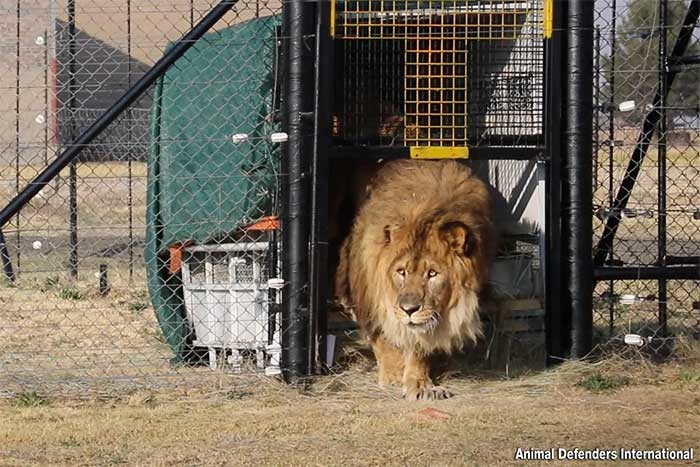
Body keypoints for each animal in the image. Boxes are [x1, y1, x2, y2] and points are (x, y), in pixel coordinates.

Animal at [334, 159, 494, 400]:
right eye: (401, 272)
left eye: (432, 274)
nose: (409, 309)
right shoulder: (371, 296)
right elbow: (383, 337)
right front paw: (392, 375)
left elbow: (418, 345)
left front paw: (420, 385)